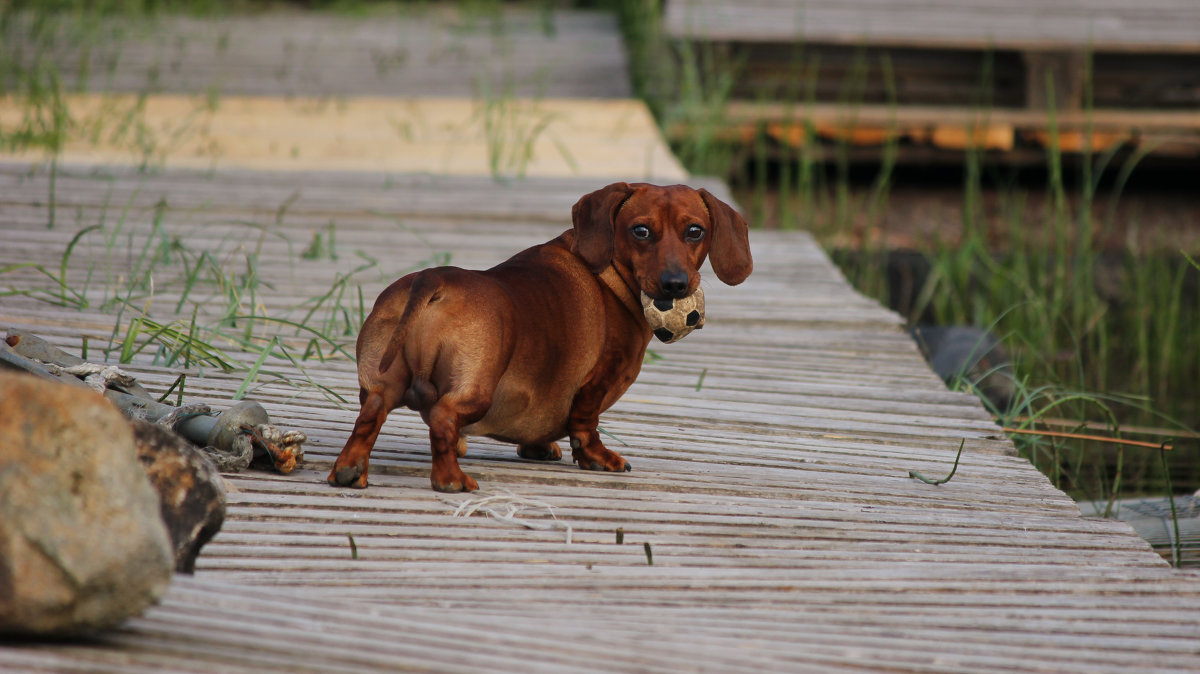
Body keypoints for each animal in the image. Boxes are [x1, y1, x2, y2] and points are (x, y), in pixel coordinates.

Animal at [328, 181, 748, 491]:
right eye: (640, 230)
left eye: (695, 231)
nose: (675, 284)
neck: (609, 276)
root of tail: (434, 278)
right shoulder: (598, 380)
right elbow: (585, 425)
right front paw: (599, 458)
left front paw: (540, 448)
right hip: (476, 387)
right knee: (444, 419)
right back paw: (451, 480)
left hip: (380, 384)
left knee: (370, 415)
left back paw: (349, 471)